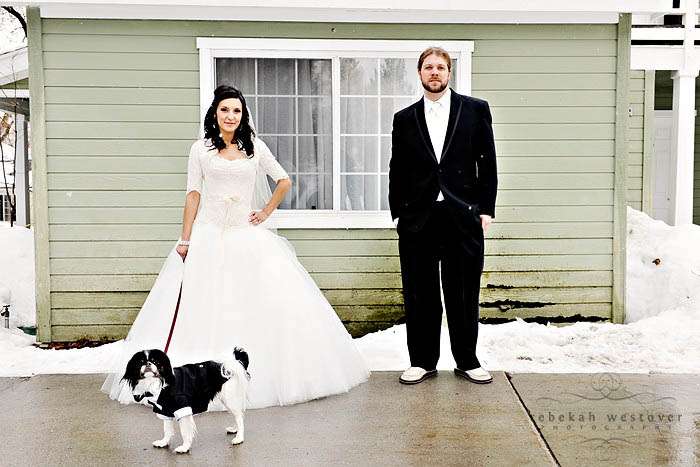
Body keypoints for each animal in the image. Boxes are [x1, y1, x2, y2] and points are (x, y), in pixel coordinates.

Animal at [121, 347, 250, 453]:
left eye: (156, 362)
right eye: (141, 362)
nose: (148, 363)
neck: (156, 384)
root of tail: (229, 365)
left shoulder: (182, 409)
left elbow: (185, 432)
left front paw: (184, 447)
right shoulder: (164, 409)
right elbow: (167, 430)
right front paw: (164, 442)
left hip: (229, 398)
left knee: (239, 417)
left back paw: (239, 438)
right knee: (238, 415)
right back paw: (234, 430)